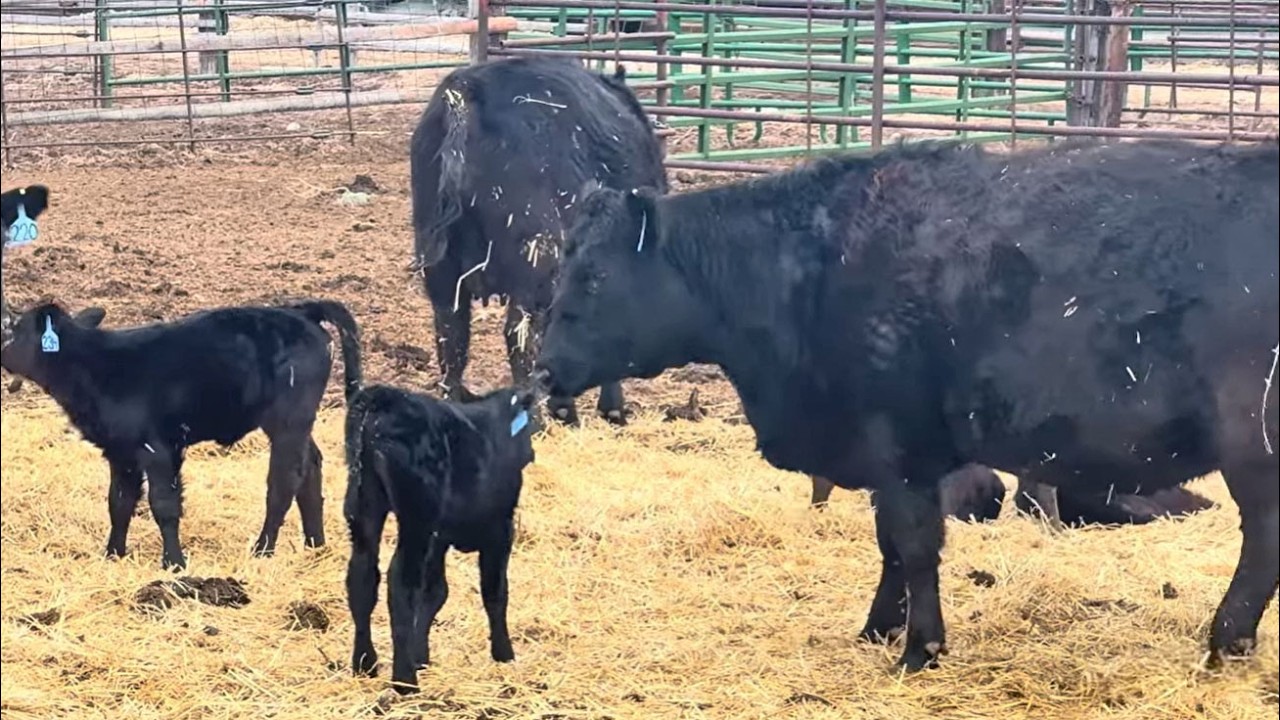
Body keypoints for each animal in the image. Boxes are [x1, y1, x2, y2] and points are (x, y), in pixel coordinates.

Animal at [0, 299, 363, 570]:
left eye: (11, 330)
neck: (96, 366)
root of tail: (300, 311)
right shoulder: (121, 452)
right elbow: (119, 502)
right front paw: (113, 555)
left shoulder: (160, 448)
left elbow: (164, 505)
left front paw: (174, 563)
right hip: (295, 423)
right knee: (311, 466)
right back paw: (315, 545)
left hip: (289, 419)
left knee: (284, 481)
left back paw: (263, 549)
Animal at [343, 381, 537, 694]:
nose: (531, 452)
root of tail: (381, 397)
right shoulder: (500, 527)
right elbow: (495, 592)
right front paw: (504, 655)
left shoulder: (440, 535)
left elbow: (435, 592)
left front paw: (421, 655)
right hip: (416, 515)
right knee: (400, 582)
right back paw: (405, 681)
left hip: (363, 506)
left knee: (362, 577)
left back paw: (365, 664)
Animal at [410, 55, 667, 427]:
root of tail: (466, 90)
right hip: (534, 261)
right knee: (519, 337)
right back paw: (535, 420)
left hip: (442, 270)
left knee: (452, 337)